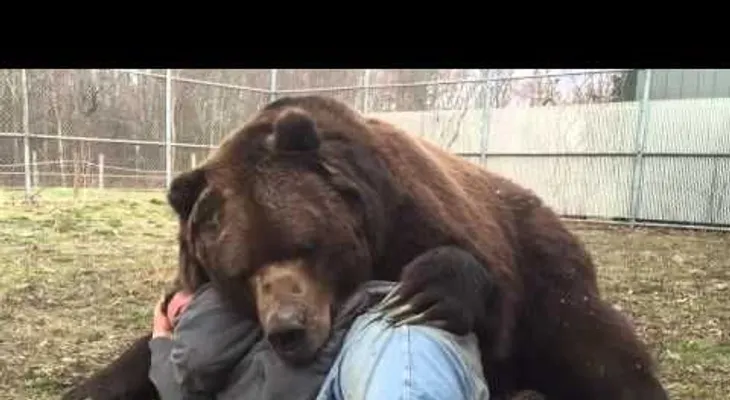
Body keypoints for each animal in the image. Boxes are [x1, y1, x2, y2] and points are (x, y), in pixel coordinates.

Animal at [63, 94, 668, 400]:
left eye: (306, 244)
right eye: (240, 269)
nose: (288, 329)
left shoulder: (418, 216)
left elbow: (470, 281)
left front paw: (428, 290)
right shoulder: (192, 288)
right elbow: (152, 351)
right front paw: (92, 387)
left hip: (551, 271)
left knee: (600, 352)